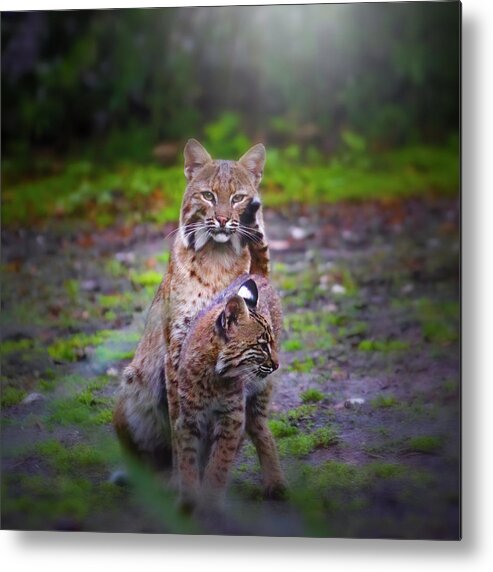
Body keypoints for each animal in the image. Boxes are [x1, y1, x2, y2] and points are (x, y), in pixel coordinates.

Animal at [177, 274, 286, 508]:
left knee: (260, 429)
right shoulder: (189, 417)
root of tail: (256, 274)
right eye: (262, 346)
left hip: (260, 391)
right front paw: (188, 501)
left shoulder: (232, 415)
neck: (213, 372)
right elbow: (187, 459)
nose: (277, 365)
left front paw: (210, 502)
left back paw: (275, 482)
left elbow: (220, 461)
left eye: (271, 343)